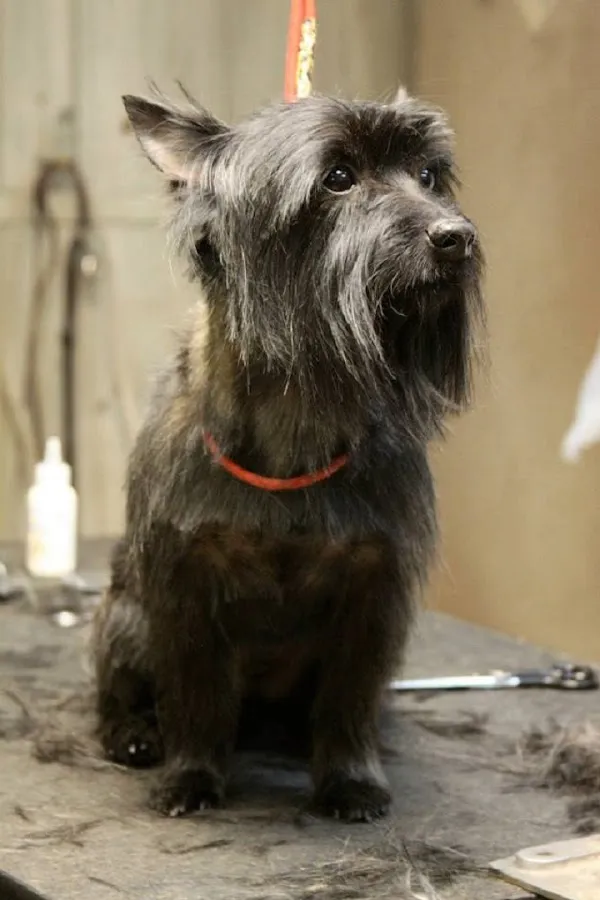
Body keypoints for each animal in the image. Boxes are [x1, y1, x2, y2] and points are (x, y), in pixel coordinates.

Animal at [91, 84, 484, 822]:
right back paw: (131, 732)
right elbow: (193, 690)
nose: (456, 237)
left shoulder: (375, 588)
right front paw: (191, 774)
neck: (302, 407)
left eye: (428, 177)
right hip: (124, 617)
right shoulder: (183, 584)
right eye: (338, 177)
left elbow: (349, 698)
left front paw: (350, 778)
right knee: (117, 686)